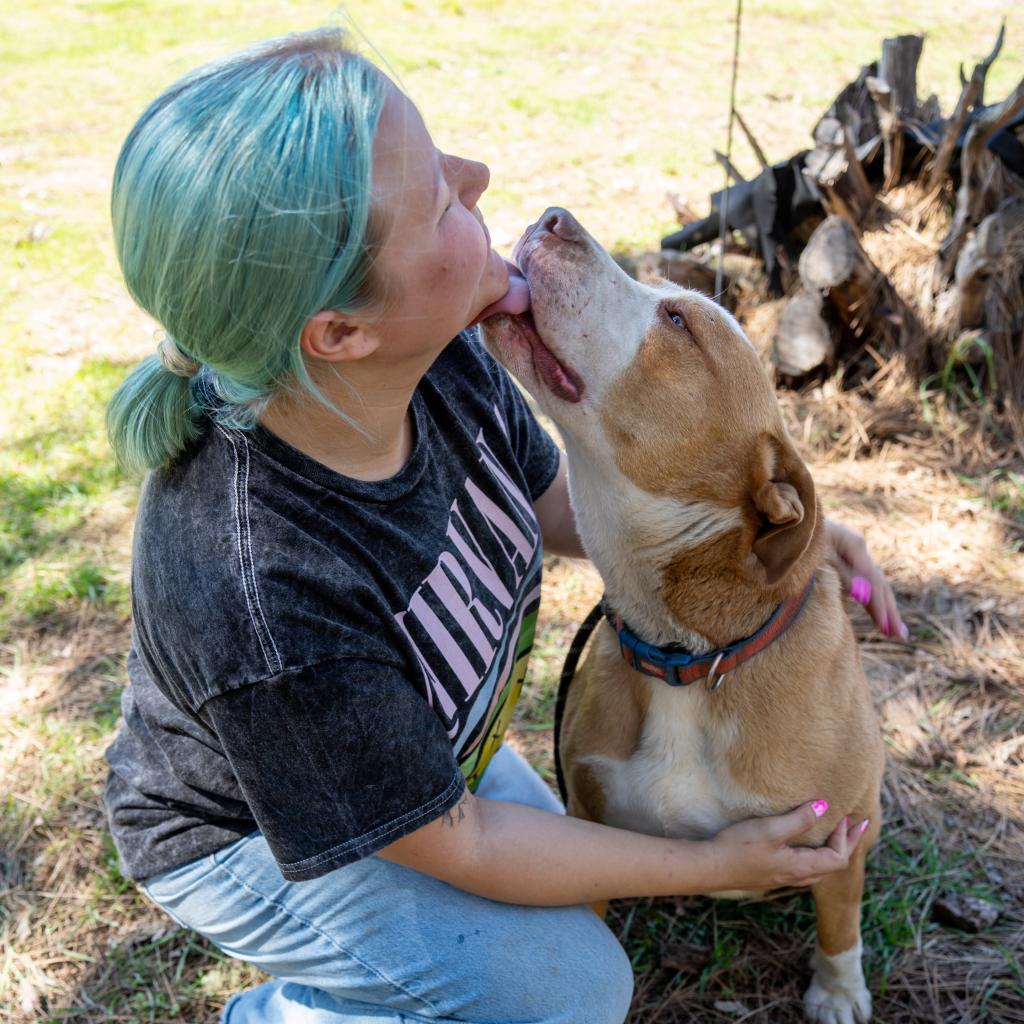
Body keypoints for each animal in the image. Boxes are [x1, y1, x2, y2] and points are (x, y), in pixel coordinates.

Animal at [483, 207, 884, 1024]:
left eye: (677, 321)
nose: (552, 218)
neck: (693, 658)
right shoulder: (589, 827)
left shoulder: (847, 829)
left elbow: (840, 914)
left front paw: (837, 989)